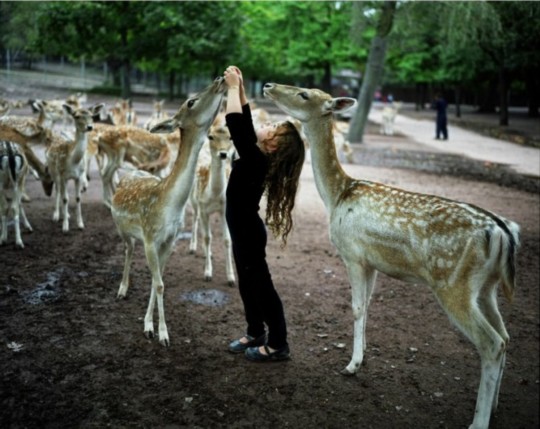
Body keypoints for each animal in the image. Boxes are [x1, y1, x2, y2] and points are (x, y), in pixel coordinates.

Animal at [45, 103, 103, 231]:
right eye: (76, 116)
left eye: (92, 116)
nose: (89, 127)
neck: (73, 161)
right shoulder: (63, 175)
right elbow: (66, 198)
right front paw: (65, 227)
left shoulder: (79, 176)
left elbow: (77, 198)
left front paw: (80, 224)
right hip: (54, 171)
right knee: (58, 191)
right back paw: (56, 215)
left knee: (61, 192)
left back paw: (66, 214)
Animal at [112, 76, 226, 344]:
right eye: (191, 101)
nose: (219, 79)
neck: (169, 206)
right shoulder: (150, 237)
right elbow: (160, 284)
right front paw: (160, 333)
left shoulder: (169, 240)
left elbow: (158, 281)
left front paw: (151, 326)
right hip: (122, 229)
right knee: (127, 250)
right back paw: (122, 289)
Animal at [262, 81, 520, 428]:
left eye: (304, 94)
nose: (268, 85)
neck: (337, 195)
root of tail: (503, 234)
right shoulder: (371, 262)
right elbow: (368, 307)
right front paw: (361, 358)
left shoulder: (352, 253)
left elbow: (356, 307)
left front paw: (351, 365)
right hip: (487, 287)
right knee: (505, 336)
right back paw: (494, 407)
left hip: (454, 283)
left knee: (491, 343)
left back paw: (478, 421)